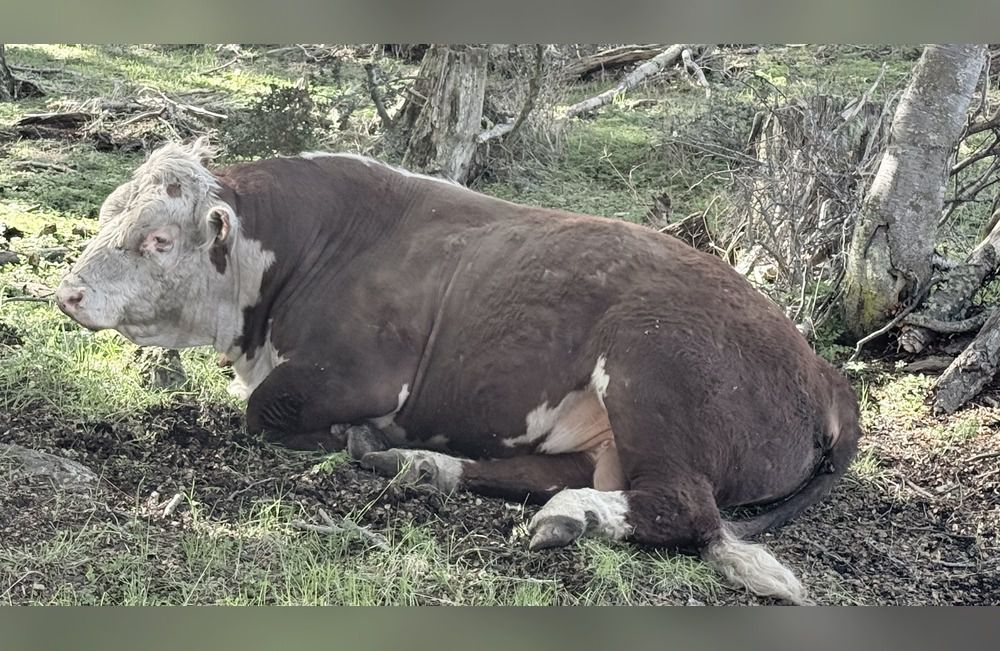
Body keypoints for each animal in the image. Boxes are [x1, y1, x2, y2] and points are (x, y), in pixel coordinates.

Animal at [56, 138, 860, 604]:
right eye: (105, 215)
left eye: (158, 240)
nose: (67, 292)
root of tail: (822, 366)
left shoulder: (365, 374)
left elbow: (268, 411)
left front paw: (342, 436)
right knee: (555, 471)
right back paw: (424, 466)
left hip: (652, 364)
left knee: (681, 506)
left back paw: (560, 514)